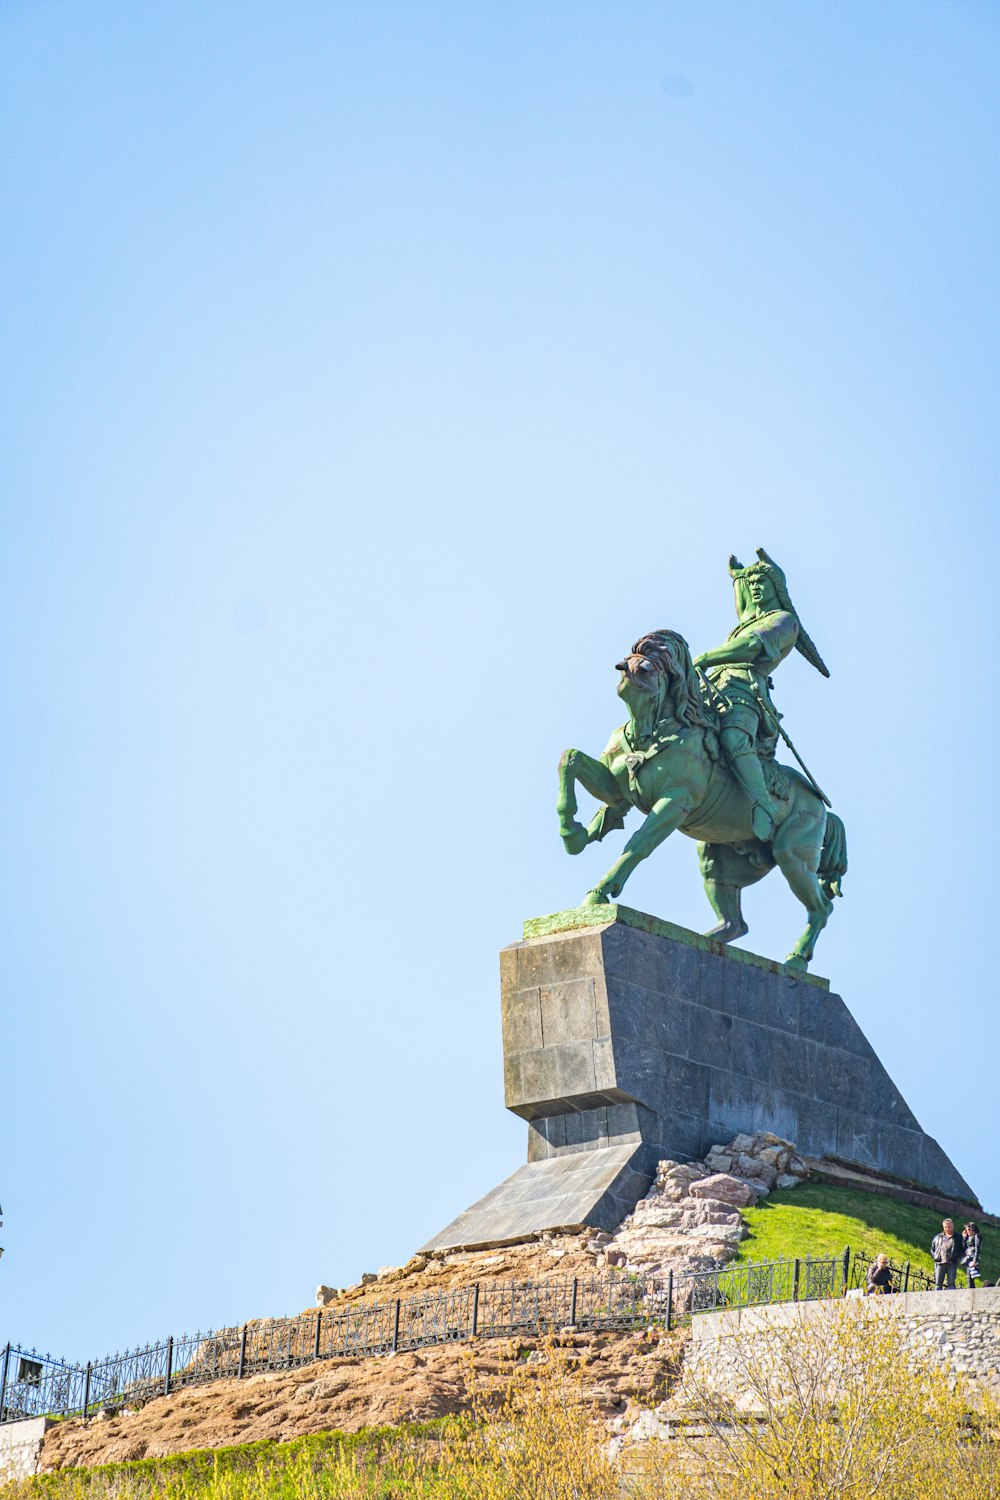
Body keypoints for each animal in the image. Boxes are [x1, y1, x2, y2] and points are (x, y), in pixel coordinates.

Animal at [554, 630, 845, 972]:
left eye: (658, 662)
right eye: (636, 654)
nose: (634, 667)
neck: (651, 732)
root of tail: (823, 810)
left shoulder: (674, 801)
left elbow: (638, 844)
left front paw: (599, 892)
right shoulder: (617, 789)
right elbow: (570, 759)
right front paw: (572, 833)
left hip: (792, 858)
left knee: (821, 909)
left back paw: (796, 960)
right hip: (716, 858)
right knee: (735, 923)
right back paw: (703, 940)